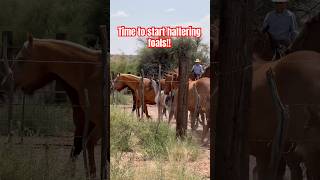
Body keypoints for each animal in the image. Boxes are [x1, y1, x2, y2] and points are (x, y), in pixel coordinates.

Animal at [0, 34, 102, 178]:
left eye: (21, 59)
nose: (4, 85)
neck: (90, 73)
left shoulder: (99, 123)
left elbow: (88, 145)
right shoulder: (83, 124)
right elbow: (76, 148)